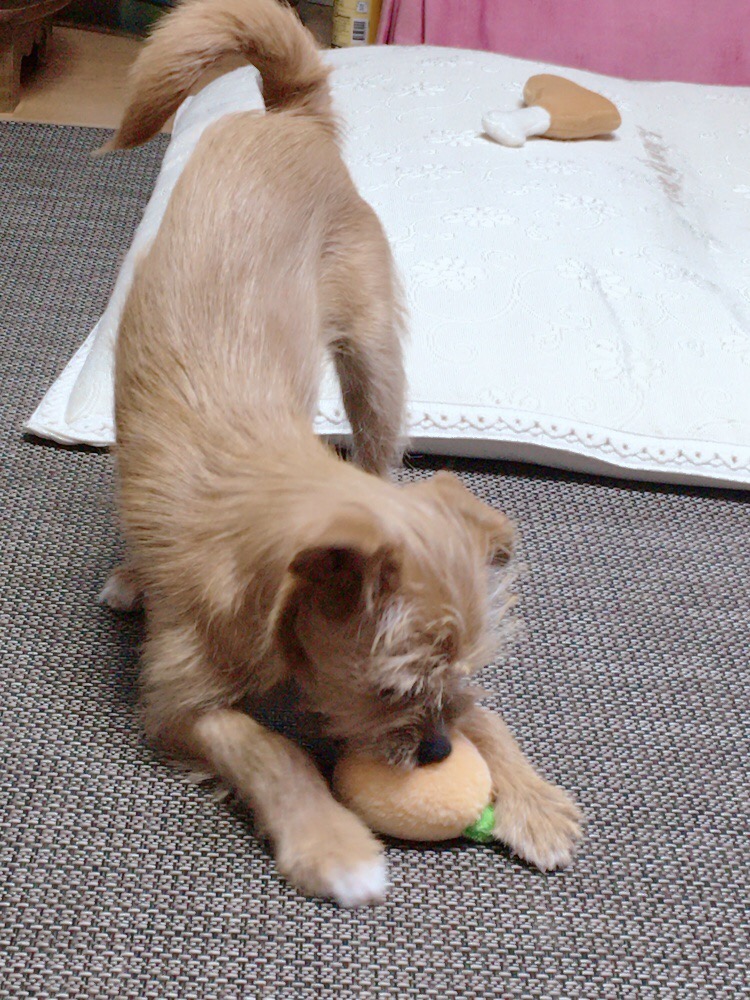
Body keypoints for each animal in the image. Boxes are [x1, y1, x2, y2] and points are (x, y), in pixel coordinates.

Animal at [101, 0, 582, 906]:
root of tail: (288, 114)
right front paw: (331, 841)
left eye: (460, 668)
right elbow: (273, 750)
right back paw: (130, 575)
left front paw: (530, 795)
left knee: (386, 454)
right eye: (390, 687)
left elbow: (486, 710)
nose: (437, 752)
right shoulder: (177, 705)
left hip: (373, 362)